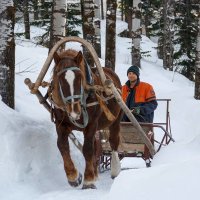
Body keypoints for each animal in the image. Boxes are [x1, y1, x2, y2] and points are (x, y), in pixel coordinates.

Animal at [50, 48, 122, 189]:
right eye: (59, 78)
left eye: (80, 78)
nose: (74, 111)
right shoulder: (61, 124)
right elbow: (62, 145)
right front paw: (73, 176)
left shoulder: (91, 124)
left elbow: (87, 149)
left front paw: (88, 180)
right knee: (96, 147)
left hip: (115, 119)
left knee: (113, 142)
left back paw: (115, 170)